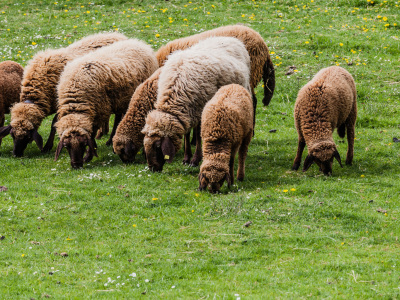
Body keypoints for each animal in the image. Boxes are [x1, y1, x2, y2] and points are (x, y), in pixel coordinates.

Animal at [53, 39, 159, 169]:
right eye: (67, 146)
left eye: (83, 144)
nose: (76, 165)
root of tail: (139, 42)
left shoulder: (100, 111)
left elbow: (92, 134)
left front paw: (88, 156)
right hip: (119, 99)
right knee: (118, 116)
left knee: (118, 118)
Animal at [143, 35, 250, 171]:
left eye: (157, 146)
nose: (152, 168)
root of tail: (230, 38)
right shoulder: (188, 111)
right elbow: (187, 134)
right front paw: (186, 158)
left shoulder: (200, 108)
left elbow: (198, 136)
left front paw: (195, 160)